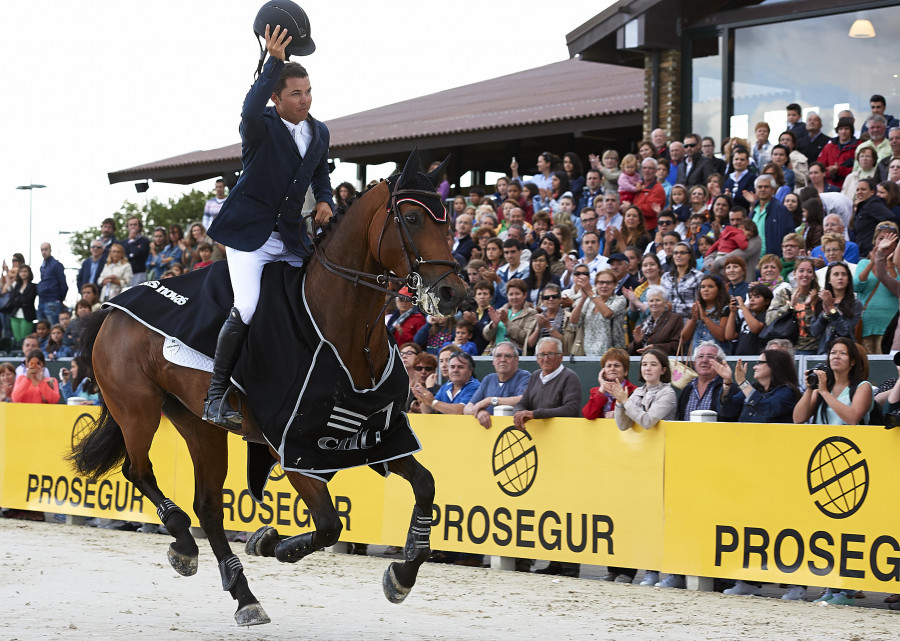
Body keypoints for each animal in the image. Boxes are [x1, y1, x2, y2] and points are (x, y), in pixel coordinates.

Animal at [67, 150, 468, 624]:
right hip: (137, 409)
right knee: (139, 470)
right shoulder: (293, 449)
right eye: (411, 217)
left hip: (197, 423)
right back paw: (186, 544)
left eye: (447, 220)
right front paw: (271, 543)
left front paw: (402, 575)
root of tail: (110, 310)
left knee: (207, 505)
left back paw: (241, 593)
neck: (341, 327)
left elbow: (425, 486)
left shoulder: (374, 437)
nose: (453, 293)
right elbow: (329, 524)